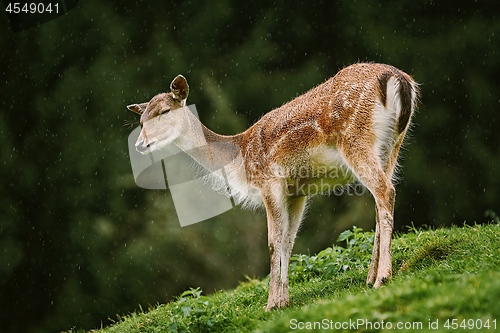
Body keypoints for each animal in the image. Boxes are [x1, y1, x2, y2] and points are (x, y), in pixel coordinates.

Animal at [127, 63, 420, 312]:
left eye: (165, 111)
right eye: (141, 121)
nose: (139, 144)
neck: (240, 157)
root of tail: (399, 79)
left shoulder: (269, 181)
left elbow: (272, 242)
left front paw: (270, 304)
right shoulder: (297, 192)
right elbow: (288, 241)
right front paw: (284, 300)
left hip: (356, 139)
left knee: (385, 191)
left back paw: (382, 277)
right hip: (392, 145)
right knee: (382, 197)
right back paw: (371, 276)